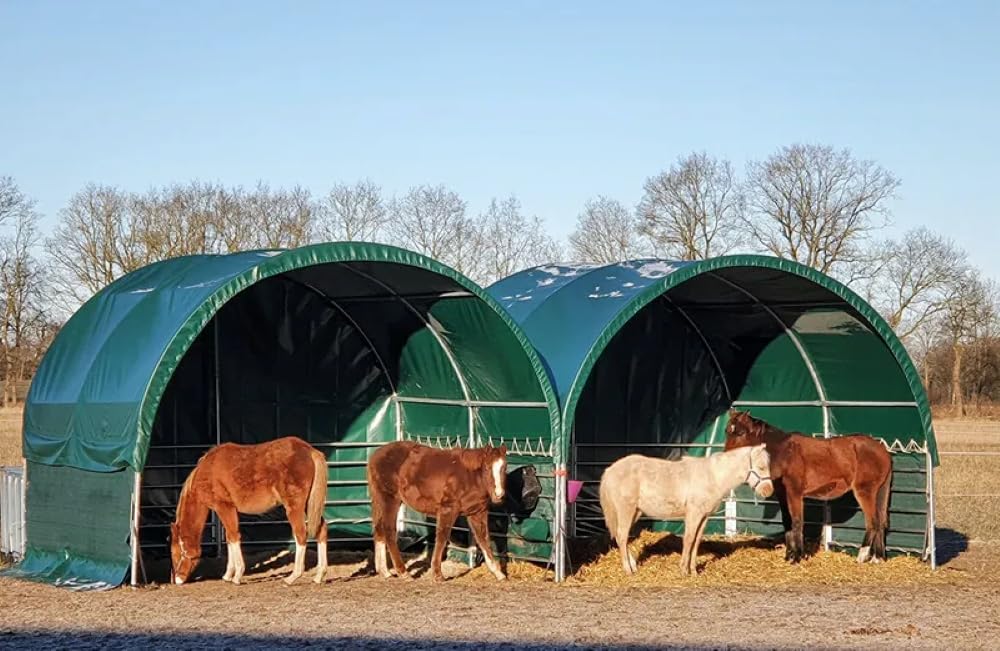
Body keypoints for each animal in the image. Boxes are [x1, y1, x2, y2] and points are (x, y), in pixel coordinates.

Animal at [170, 436, 329, 586]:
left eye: (176, 553)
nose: (177, 579)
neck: (208, 469)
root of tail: (309, 450)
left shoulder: (224, 507)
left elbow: (234, 536)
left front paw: (237, 576)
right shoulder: (227, 510)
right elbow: (229, 537)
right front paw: (228, 575)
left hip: (294, 507)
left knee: (301, 534)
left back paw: (292, 577)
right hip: (309, 505)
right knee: (321, 530)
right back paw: (319, 575)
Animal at [367, 441, 508, 582]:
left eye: (504, 468)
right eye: (487, 467)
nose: (499, 494)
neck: (470, 477)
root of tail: (375, 456)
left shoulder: (477, 513)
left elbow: (483, 539)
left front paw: (498, 573)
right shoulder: (448, 509)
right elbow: (442, 537)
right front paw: (437, 574)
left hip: (380, 501)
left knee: (379, 530)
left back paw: (385, 572)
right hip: (390, 500)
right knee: (389, 531)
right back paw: (403, 572)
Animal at [599, 444, 773, 576]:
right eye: (761, 467)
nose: (769, 491)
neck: (713, 477)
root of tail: (610, 470)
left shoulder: (704, 516)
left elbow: (696, 541)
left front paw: (693, 571)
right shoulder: (693, 514)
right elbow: (688, 539)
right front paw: (683, 570)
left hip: (635, 511)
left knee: (621, 536)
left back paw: (633, 565)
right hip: (626, 510)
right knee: (622, 536)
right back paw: (628, 570)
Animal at [723, 409, 893, 564]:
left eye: (740, 433)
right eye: (727, 431)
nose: (726, 457)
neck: (784, 453)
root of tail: (883, 451)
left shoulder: (795, 493)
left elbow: (797, 521)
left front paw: (797, 557)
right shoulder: (783, 495)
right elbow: (787, 522)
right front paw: (789, 556)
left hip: (864, 492)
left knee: (873, 522)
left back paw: (862, 556)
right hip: (878, 493)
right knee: (880, 522)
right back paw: (877, 558)